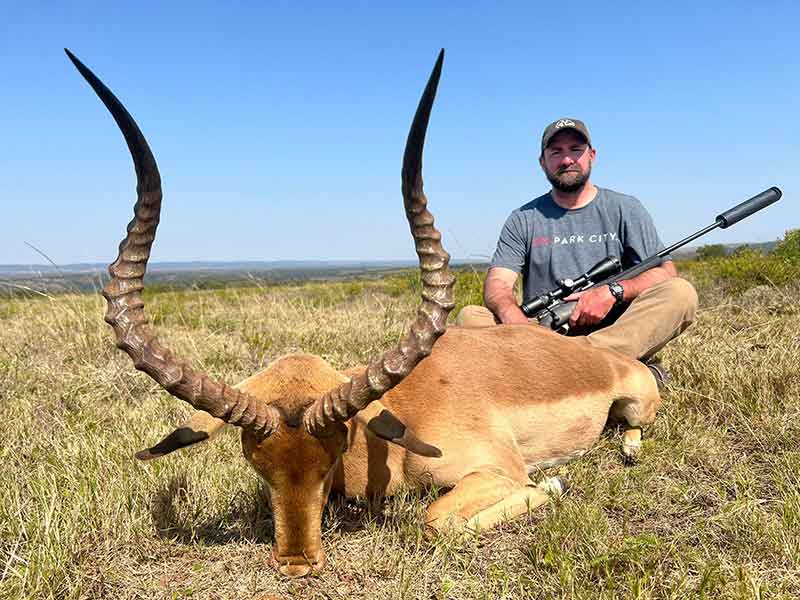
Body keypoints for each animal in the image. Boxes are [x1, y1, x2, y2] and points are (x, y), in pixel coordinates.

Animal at [67, 48, 661, 578]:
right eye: (256, 463)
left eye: (333, 452)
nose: (296, 564)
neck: (408, 413)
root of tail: (603, 359)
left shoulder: (498, 470)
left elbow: (437, 519)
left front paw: (553, 483)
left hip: (637, 403)